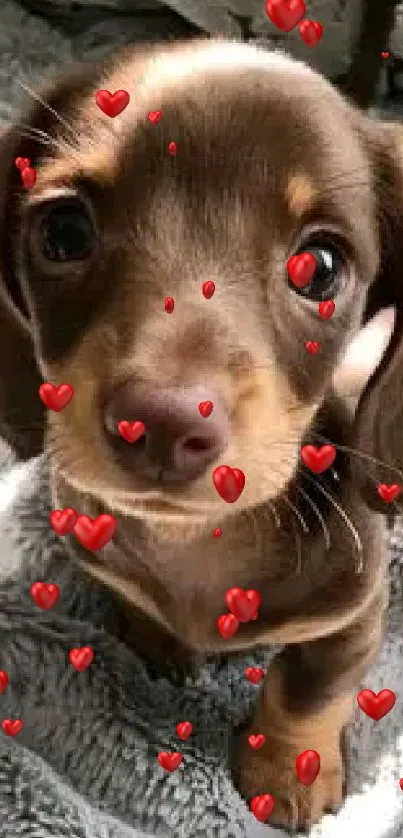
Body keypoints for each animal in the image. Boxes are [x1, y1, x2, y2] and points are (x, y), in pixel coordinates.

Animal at [0, 37, 403, 832]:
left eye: (321, 266)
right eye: (64, 231)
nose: (160, 423)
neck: (196, 543)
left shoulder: (353, 612)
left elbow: (307, 689)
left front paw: (289, 769)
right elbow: (136, 602)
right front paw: (157, 637)